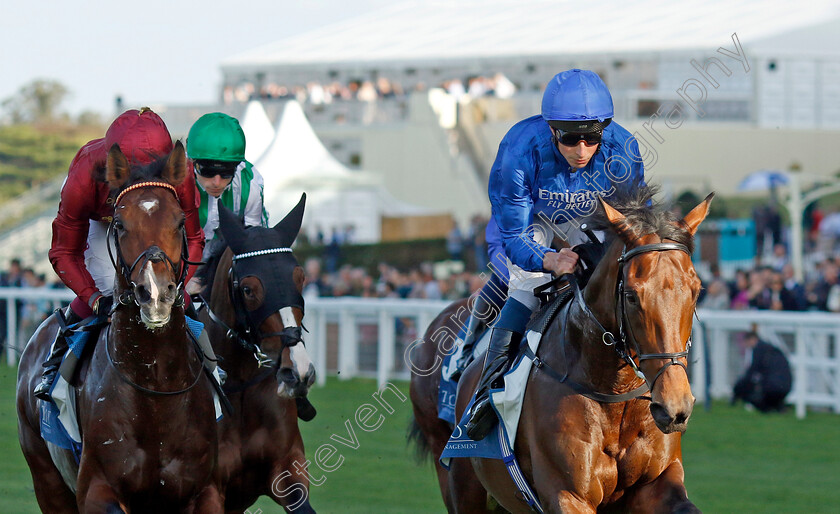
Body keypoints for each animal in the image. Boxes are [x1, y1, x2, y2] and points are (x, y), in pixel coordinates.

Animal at [16, 141, 223, 512]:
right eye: (121, 224)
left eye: (180, 221)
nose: (155, 294)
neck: (156, 391)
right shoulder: (96, 488)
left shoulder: (206, 489)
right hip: (47, 480)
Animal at [197, 194, 316, 510]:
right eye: (249, 289)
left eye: (300, 278)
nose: (297, 371)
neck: (239, 387)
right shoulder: (207, 490)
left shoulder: (288, 469)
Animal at [410, 186, 712, 510]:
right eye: (631, 295)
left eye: (696, 291)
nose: (674, 406)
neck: (613, 392)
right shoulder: (567, 493)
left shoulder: (658, 482)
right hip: (458, 477)